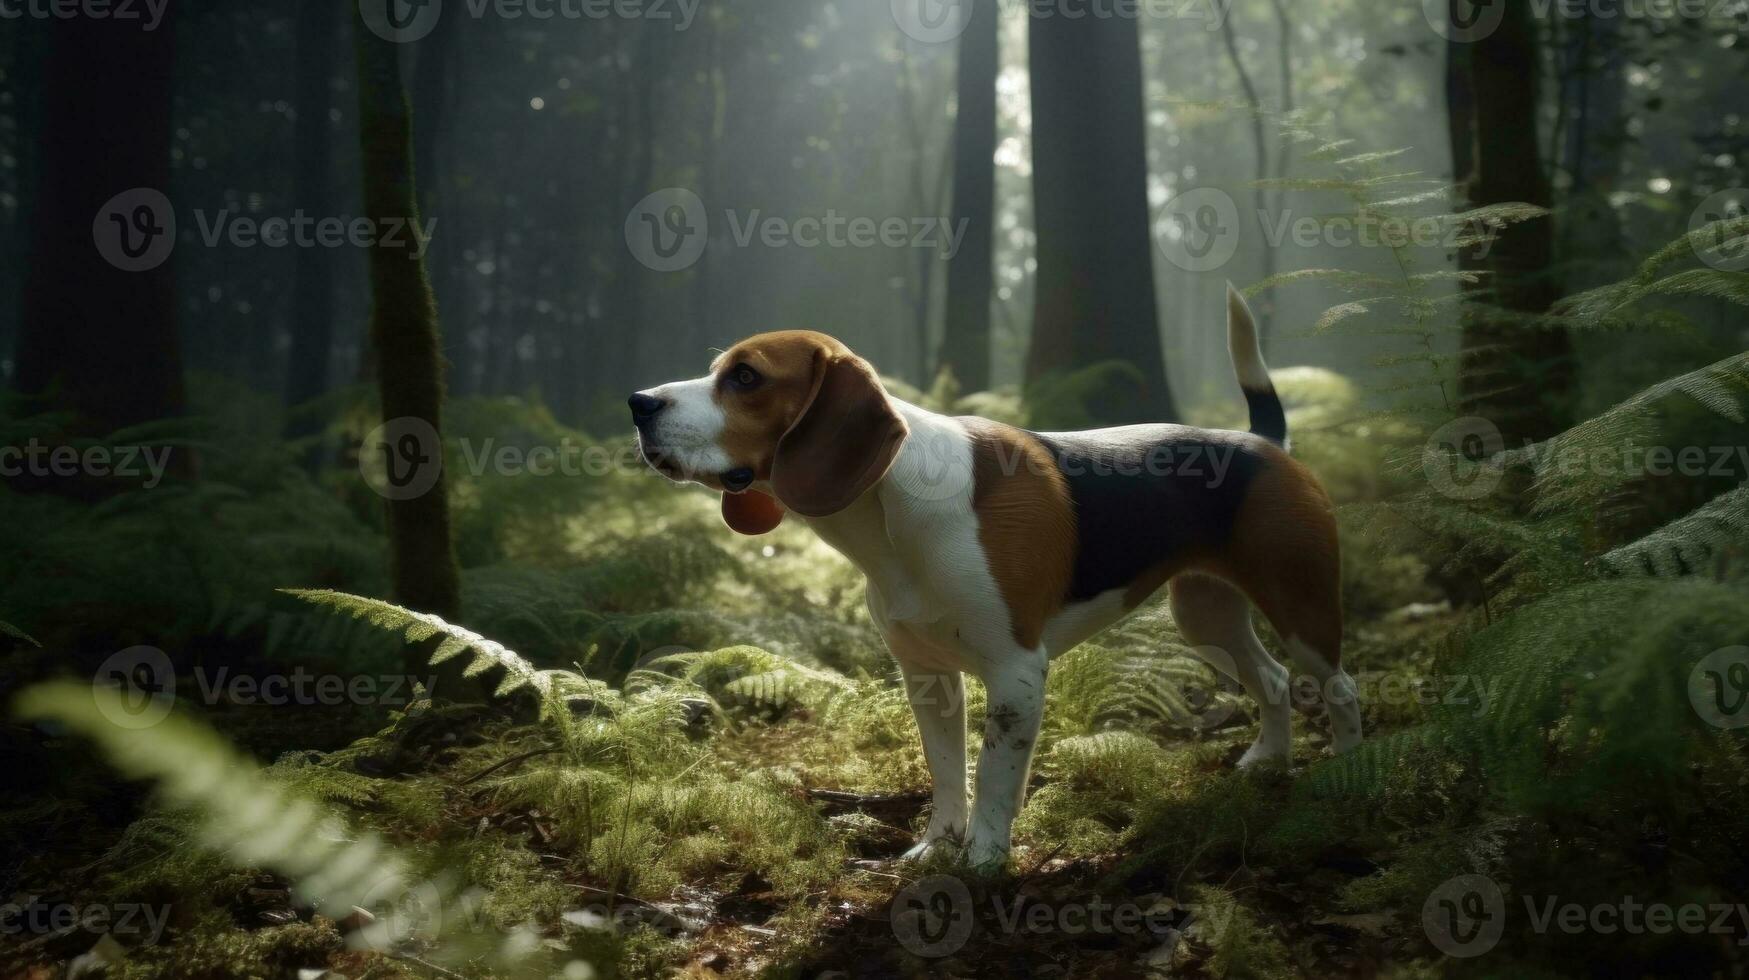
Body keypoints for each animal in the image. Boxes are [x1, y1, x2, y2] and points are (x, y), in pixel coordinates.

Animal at [629, 287, 1364, 868]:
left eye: (745, 377)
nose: (637, 402)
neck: (891, 507)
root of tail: (1264, 443)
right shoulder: (927, 677)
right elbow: (948, 771)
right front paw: (937, 846)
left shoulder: (1015, 675)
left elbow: (992, 776)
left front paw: (982, 860)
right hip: (1206, 617)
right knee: (1272, 679)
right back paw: (1268, 762)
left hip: (1300, 604)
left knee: (1339, 685)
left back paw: (1349, 772)